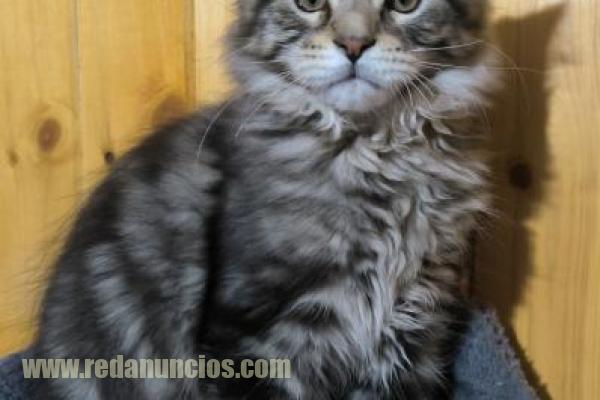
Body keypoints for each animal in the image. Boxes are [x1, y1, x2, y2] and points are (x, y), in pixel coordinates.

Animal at [36, 0, 499, 399]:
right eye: (308, 4)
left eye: (405, 4)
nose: (354, 44)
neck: (373, 155)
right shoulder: (254, 332)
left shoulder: (415, 325)